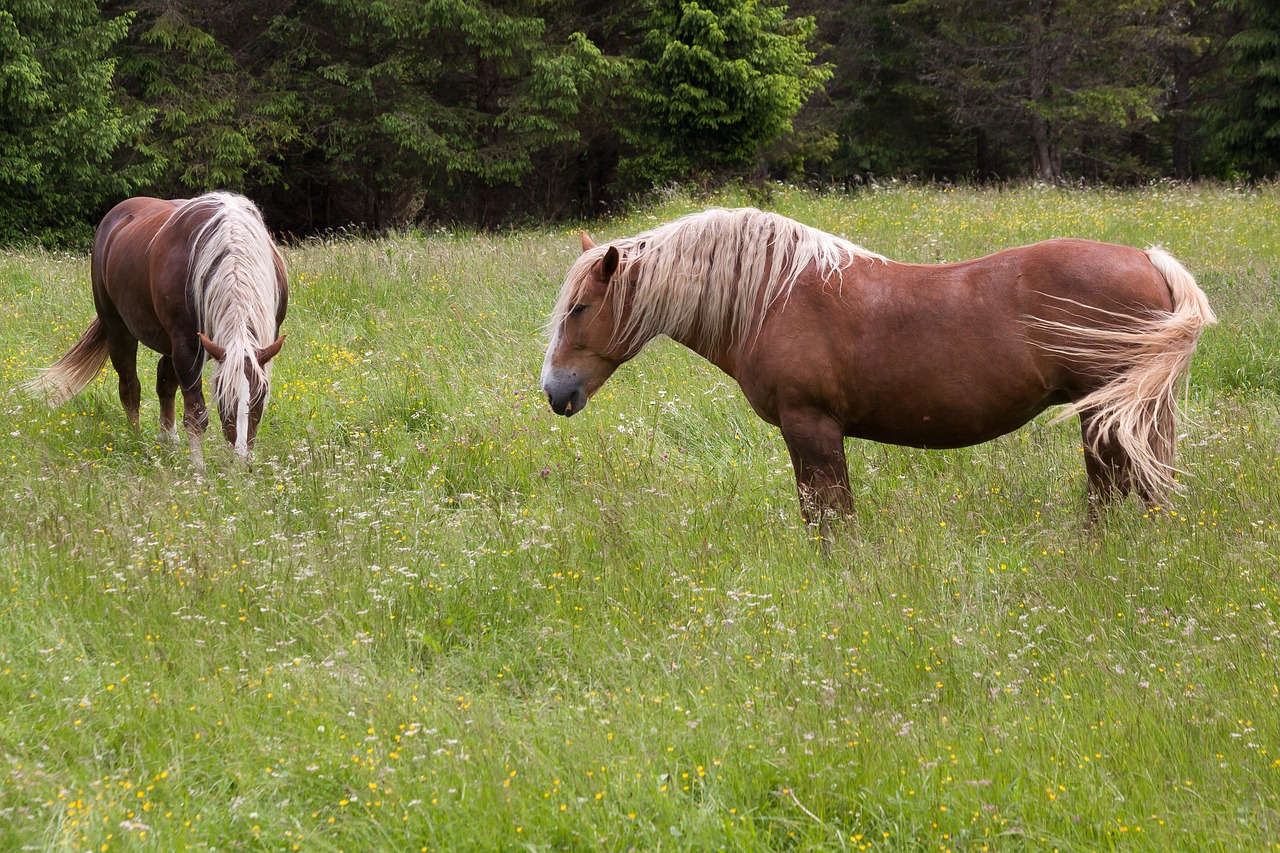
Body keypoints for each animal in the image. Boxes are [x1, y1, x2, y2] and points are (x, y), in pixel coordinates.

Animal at [22, 192, 288, 466]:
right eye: (224, 397)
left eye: (260, 397)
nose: (241, 460)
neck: (231, 245)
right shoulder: (186, 345)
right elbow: (195, 414)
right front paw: (199, 469)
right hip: (118, 329)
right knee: (130, 387)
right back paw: (137, 442)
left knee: (164, 381)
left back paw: (168, 439)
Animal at [540, 208, 1218, 522]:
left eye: (579, 308)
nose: (554, 391)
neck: (774, 297)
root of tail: (1148, 260)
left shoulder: (811, 427)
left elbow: (829, 518)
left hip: (1104, 414)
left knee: (1116, 492)